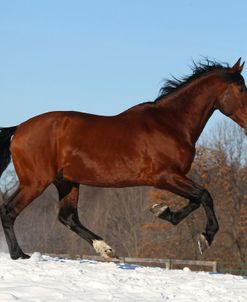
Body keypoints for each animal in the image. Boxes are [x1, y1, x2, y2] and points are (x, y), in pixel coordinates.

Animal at [0, 59, 247, 260]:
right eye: (241, 88)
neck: (171, 124)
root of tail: (18, 129)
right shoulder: (164, 177)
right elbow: (204, 195)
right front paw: (205, 237)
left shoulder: (175, 177)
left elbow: (196, 199)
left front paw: (163, 211)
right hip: (35, 182)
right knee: (9, 211)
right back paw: (19, 254)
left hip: (66, 182)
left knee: (67, 217)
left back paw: (106, 249)